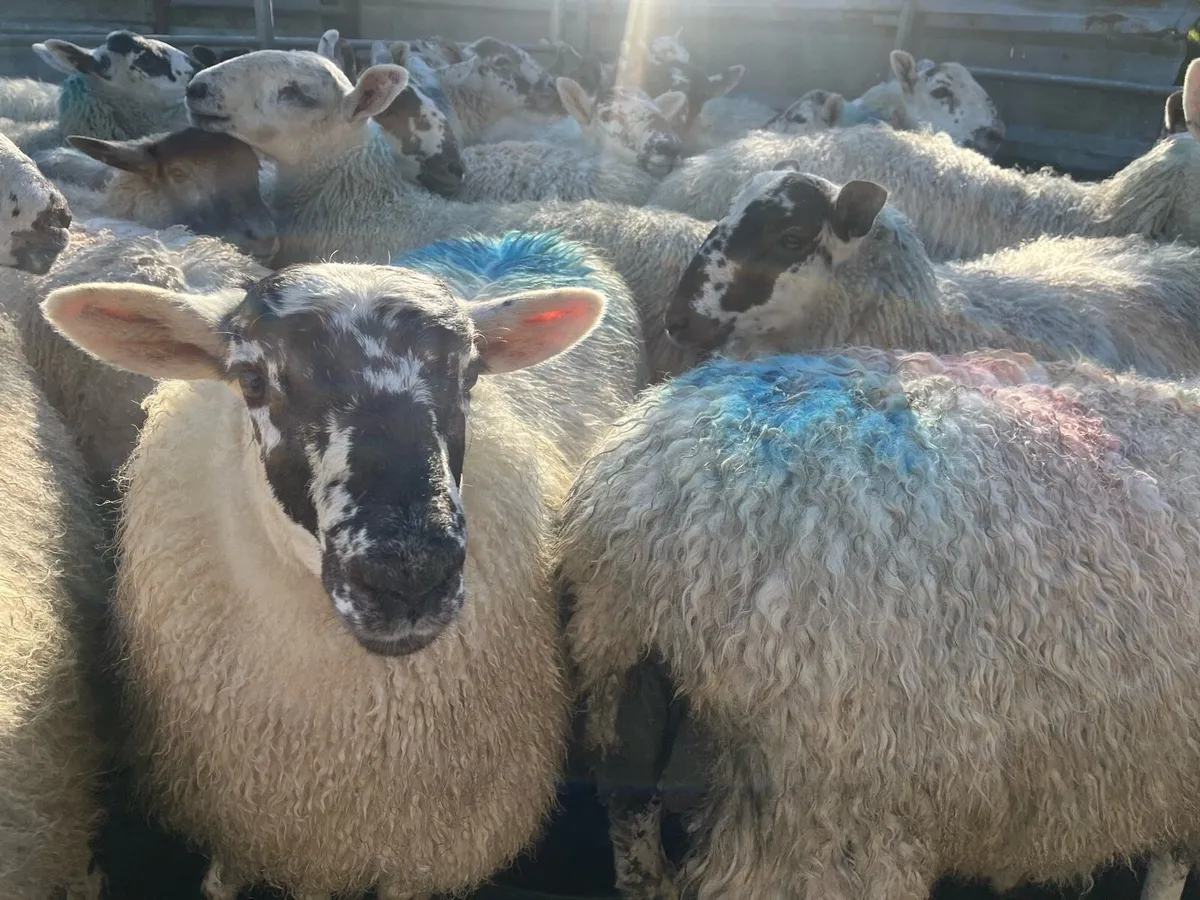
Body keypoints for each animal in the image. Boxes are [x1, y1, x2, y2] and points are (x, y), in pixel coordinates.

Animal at [39, 228, 647, 900]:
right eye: (251, 378)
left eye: (469, 376)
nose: (410, 575)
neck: (341, 744)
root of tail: (521, 236)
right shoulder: (251, 830)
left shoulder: (423, 859)